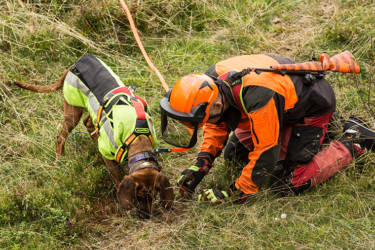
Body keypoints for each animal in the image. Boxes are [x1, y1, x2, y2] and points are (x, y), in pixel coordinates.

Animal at [13, 53, 174, 218]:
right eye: (139, 196)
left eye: (154, 196)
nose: (146, 216)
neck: (138, 136)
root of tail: (74, 64)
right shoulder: (107, 154)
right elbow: (117, 176)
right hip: (72, 112)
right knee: (61, 137)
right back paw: (60, 157)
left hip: (93, 112)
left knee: (88, 123)